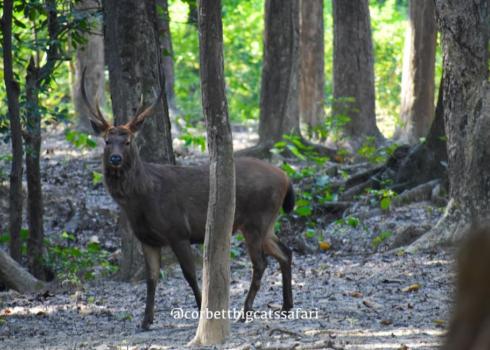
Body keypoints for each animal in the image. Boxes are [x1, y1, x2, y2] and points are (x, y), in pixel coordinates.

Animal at [82, 72, 294, 330]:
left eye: (128, 141)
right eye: (106, 141)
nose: (115, 158)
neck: (141, 200)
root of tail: (286, 178)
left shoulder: (178, 231)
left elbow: (190, 275)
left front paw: (203, 311)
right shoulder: (147, 239)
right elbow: (151, 279)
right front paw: (145, 320)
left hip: (257, 219)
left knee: (261, 263)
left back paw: (245, 312)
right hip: (265, 223)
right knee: (285, 252)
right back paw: (286, 306)